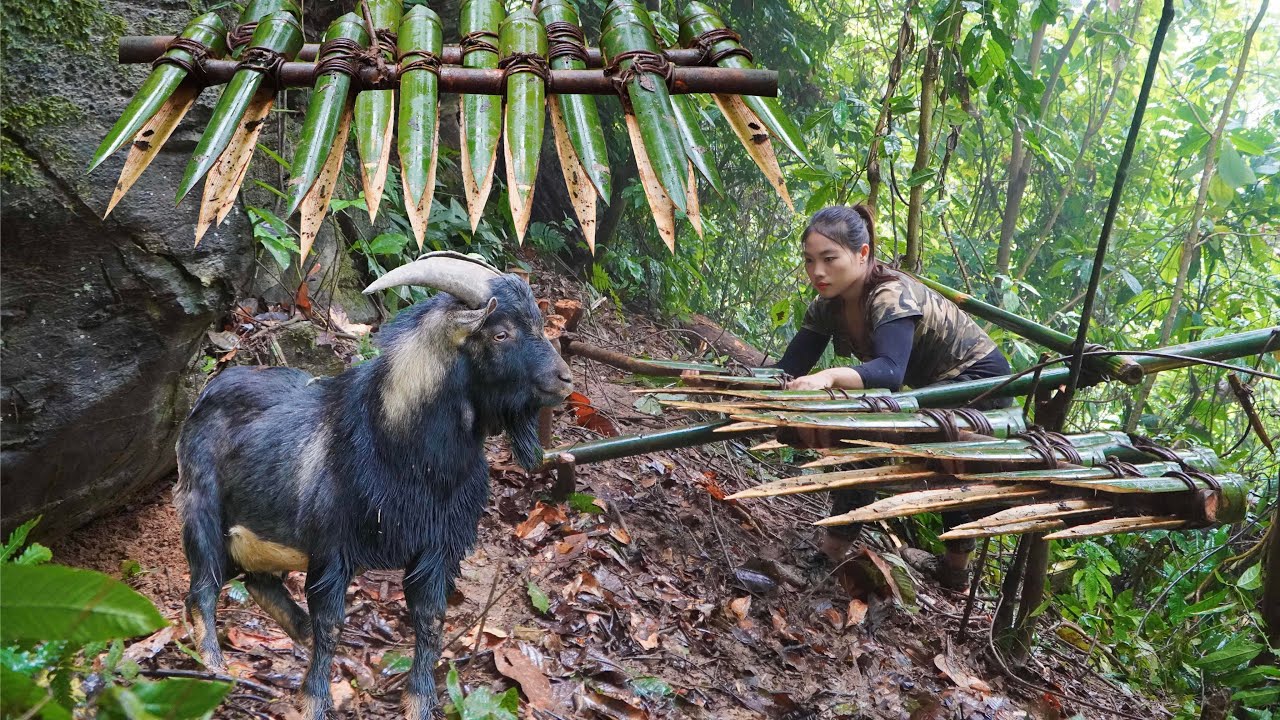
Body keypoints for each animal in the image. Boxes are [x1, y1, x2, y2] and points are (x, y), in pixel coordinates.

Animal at [174, 252, 572, 719]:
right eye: (501, 333)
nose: (564, 379)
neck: (402, 451)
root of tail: (211, 387)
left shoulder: (436, 550)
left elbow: (430, 620)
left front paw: (419, 701)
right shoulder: (332, 552)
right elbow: (331, 623)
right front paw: (314, 701)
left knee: (258, 582)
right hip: (200, 510)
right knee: (202, 590)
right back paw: (215, 668)